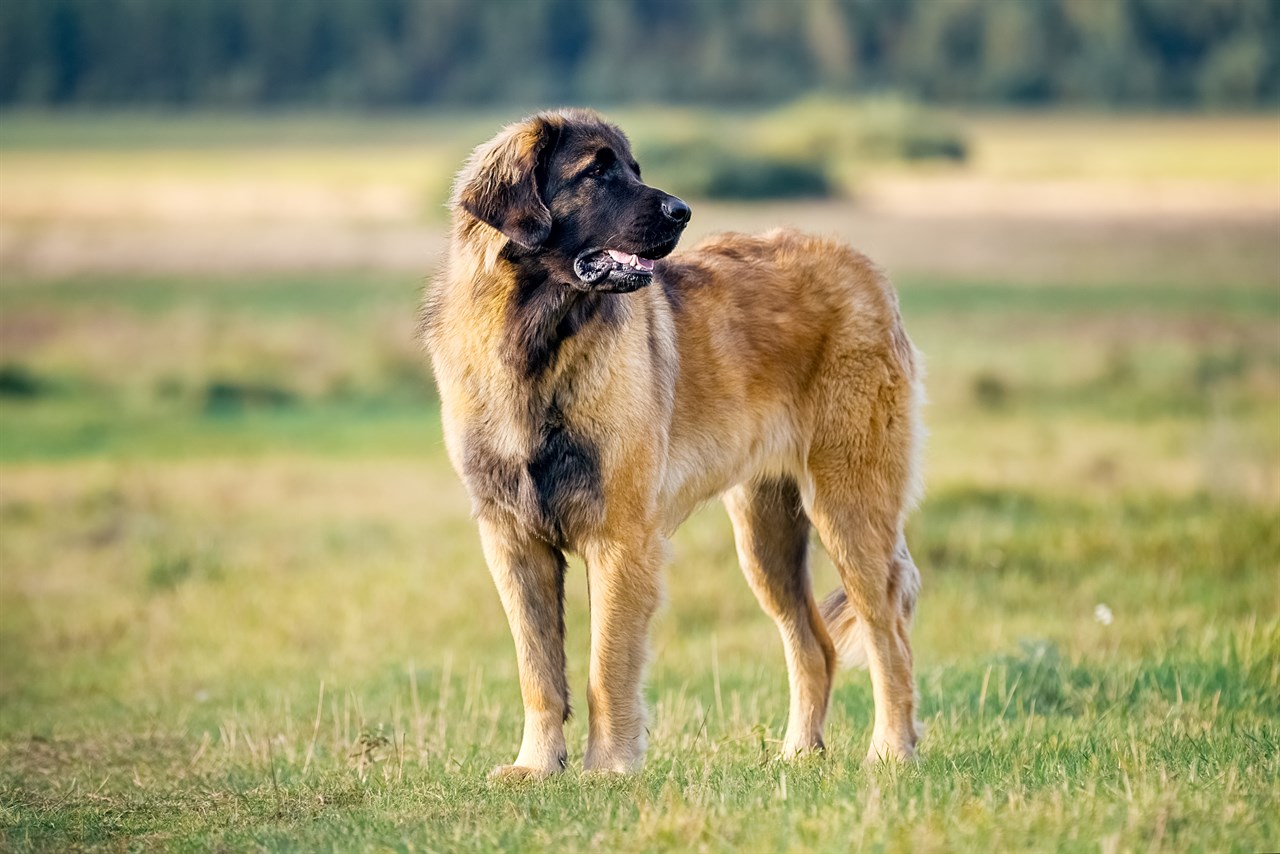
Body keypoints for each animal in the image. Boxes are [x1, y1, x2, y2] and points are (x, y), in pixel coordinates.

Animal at [424, 108, 926, 783]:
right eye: (597, 172)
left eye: (634, 169)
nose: (682, 211)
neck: (537, 343)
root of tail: (864, 269)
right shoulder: (513, 541)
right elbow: (539, 672)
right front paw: (536, 766)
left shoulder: (620, 539)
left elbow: (605, 668)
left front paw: (608, 768)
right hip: (766, 537)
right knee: (814, 644)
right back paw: (798, 753)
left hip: (849, 509)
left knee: (886, 634)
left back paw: (891, 750)